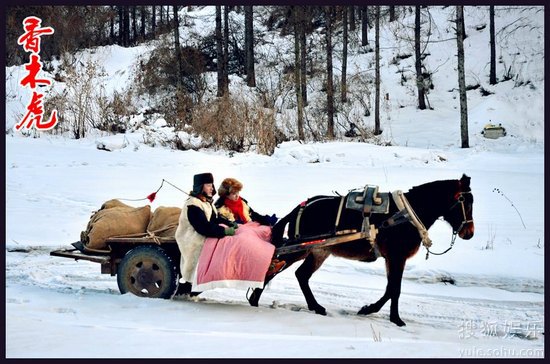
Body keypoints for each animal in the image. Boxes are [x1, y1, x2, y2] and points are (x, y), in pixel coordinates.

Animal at [248, 173, 476, 328]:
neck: (407, 215)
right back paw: (255, 297)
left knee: (301, 275)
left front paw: (375, 311)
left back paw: (315, 307)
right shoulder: (396, 257)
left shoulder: (391, 258)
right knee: (275, 267)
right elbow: (394, 289)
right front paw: (392, 318)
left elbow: (390, 289)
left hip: (318, 250)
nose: (469, 233)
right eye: (465, 201)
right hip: (302, 249)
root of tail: (302, 206)